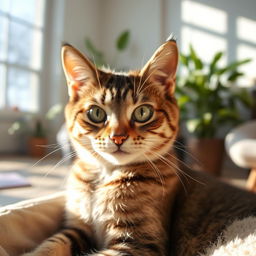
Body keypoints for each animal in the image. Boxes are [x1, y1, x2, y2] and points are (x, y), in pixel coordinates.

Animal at [22, 38, 256, 256]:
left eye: (143, 112)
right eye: (96, 113)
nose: (118, 137)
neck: (105, 176)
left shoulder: (139, 243)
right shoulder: (78, 227)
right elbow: (53, 242)